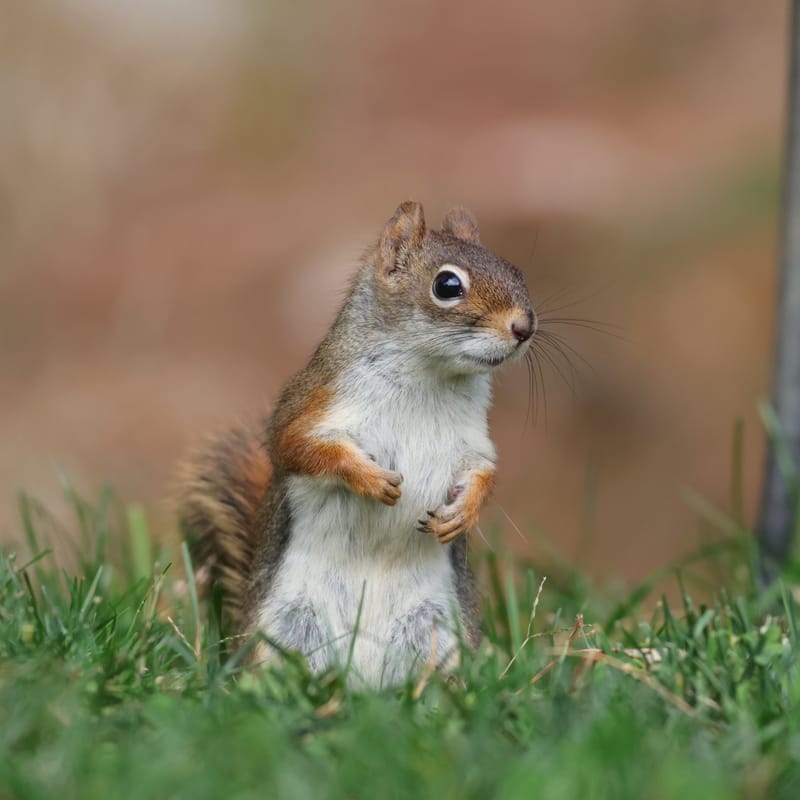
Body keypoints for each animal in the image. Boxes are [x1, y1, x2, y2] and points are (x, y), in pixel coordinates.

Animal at [177, 200, 535, 688]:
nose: (525, 327)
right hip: (290, 625)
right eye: (447, 285)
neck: (430, 376)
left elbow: (483, 473)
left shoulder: (473, 441)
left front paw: (463, 514)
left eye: (515, 270)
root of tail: (362, 683)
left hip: (436, 629)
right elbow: (299, 449)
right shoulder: (311, 406)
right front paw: (369, 479)